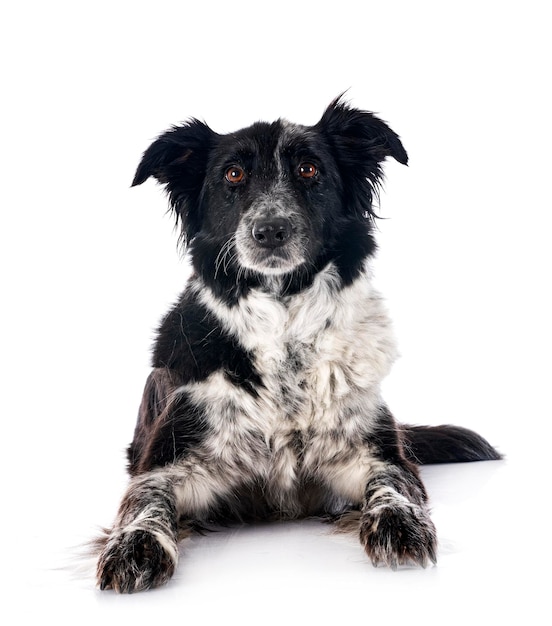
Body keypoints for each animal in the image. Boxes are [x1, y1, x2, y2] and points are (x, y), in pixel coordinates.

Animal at [95, 96, 500, 588]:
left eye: (309, 169)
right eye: (233, 174)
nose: (270, 230)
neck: (284, 328)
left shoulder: (374, 453)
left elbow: (393, 482)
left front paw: (400, 524)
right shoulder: (168, 459)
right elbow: (144, 500)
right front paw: (133, 546)